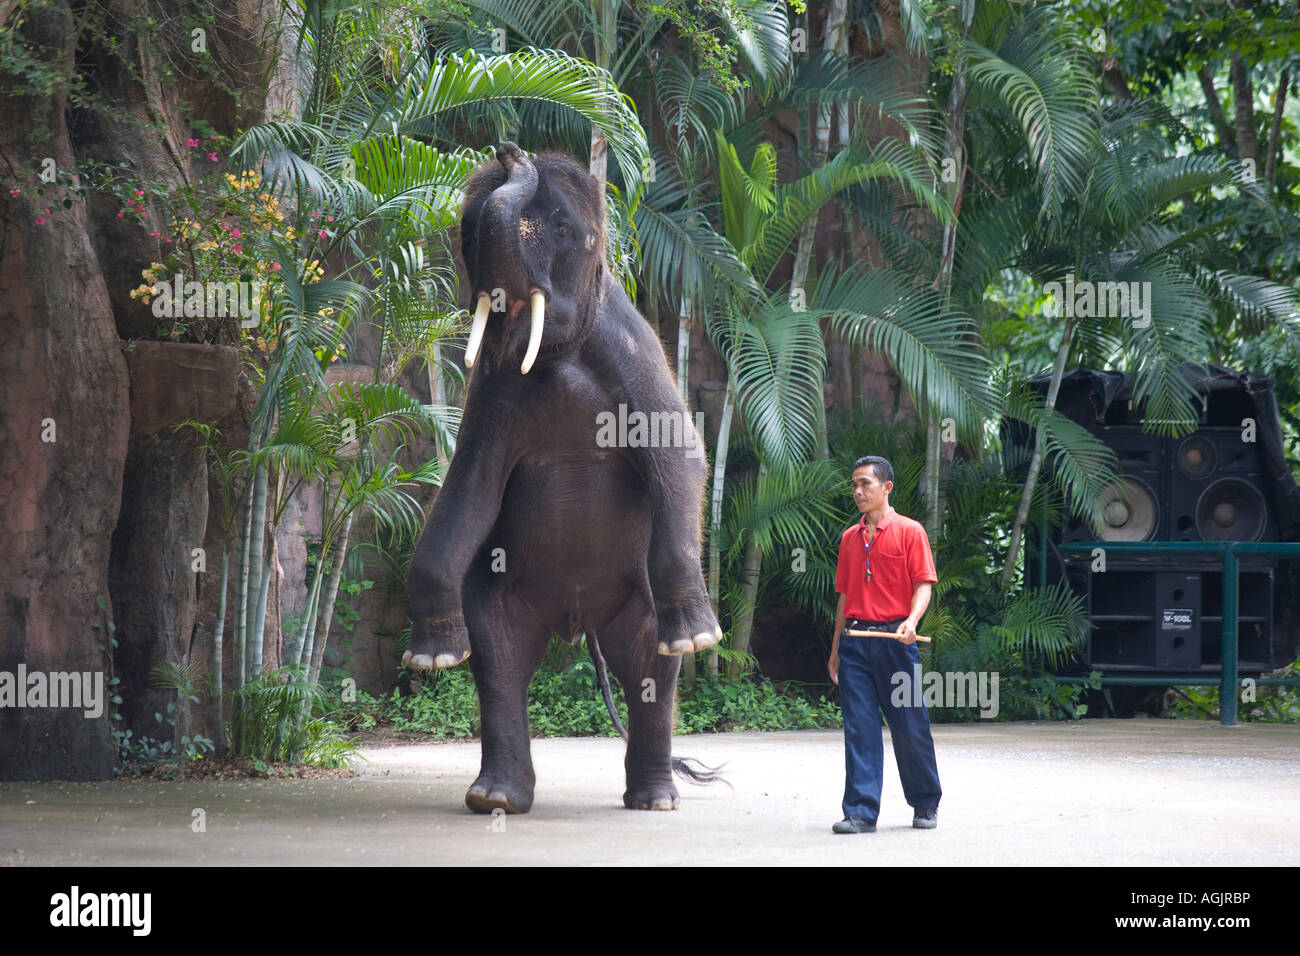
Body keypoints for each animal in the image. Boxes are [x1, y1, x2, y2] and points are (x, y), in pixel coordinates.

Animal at [405, 141, 728, 816]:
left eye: (562, 229)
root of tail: (578, 626)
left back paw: (656, 799)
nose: (510, 150)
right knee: (500, 663)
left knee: (649, 665)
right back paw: (495, 800)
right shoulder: (491, 389)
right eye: (467, 232)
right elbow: (467, 487)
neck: (560, 355)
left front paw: (700, 638)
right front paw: (432, 657)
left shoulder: (636, 356)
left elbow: (682, 457)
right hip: (504, 597)